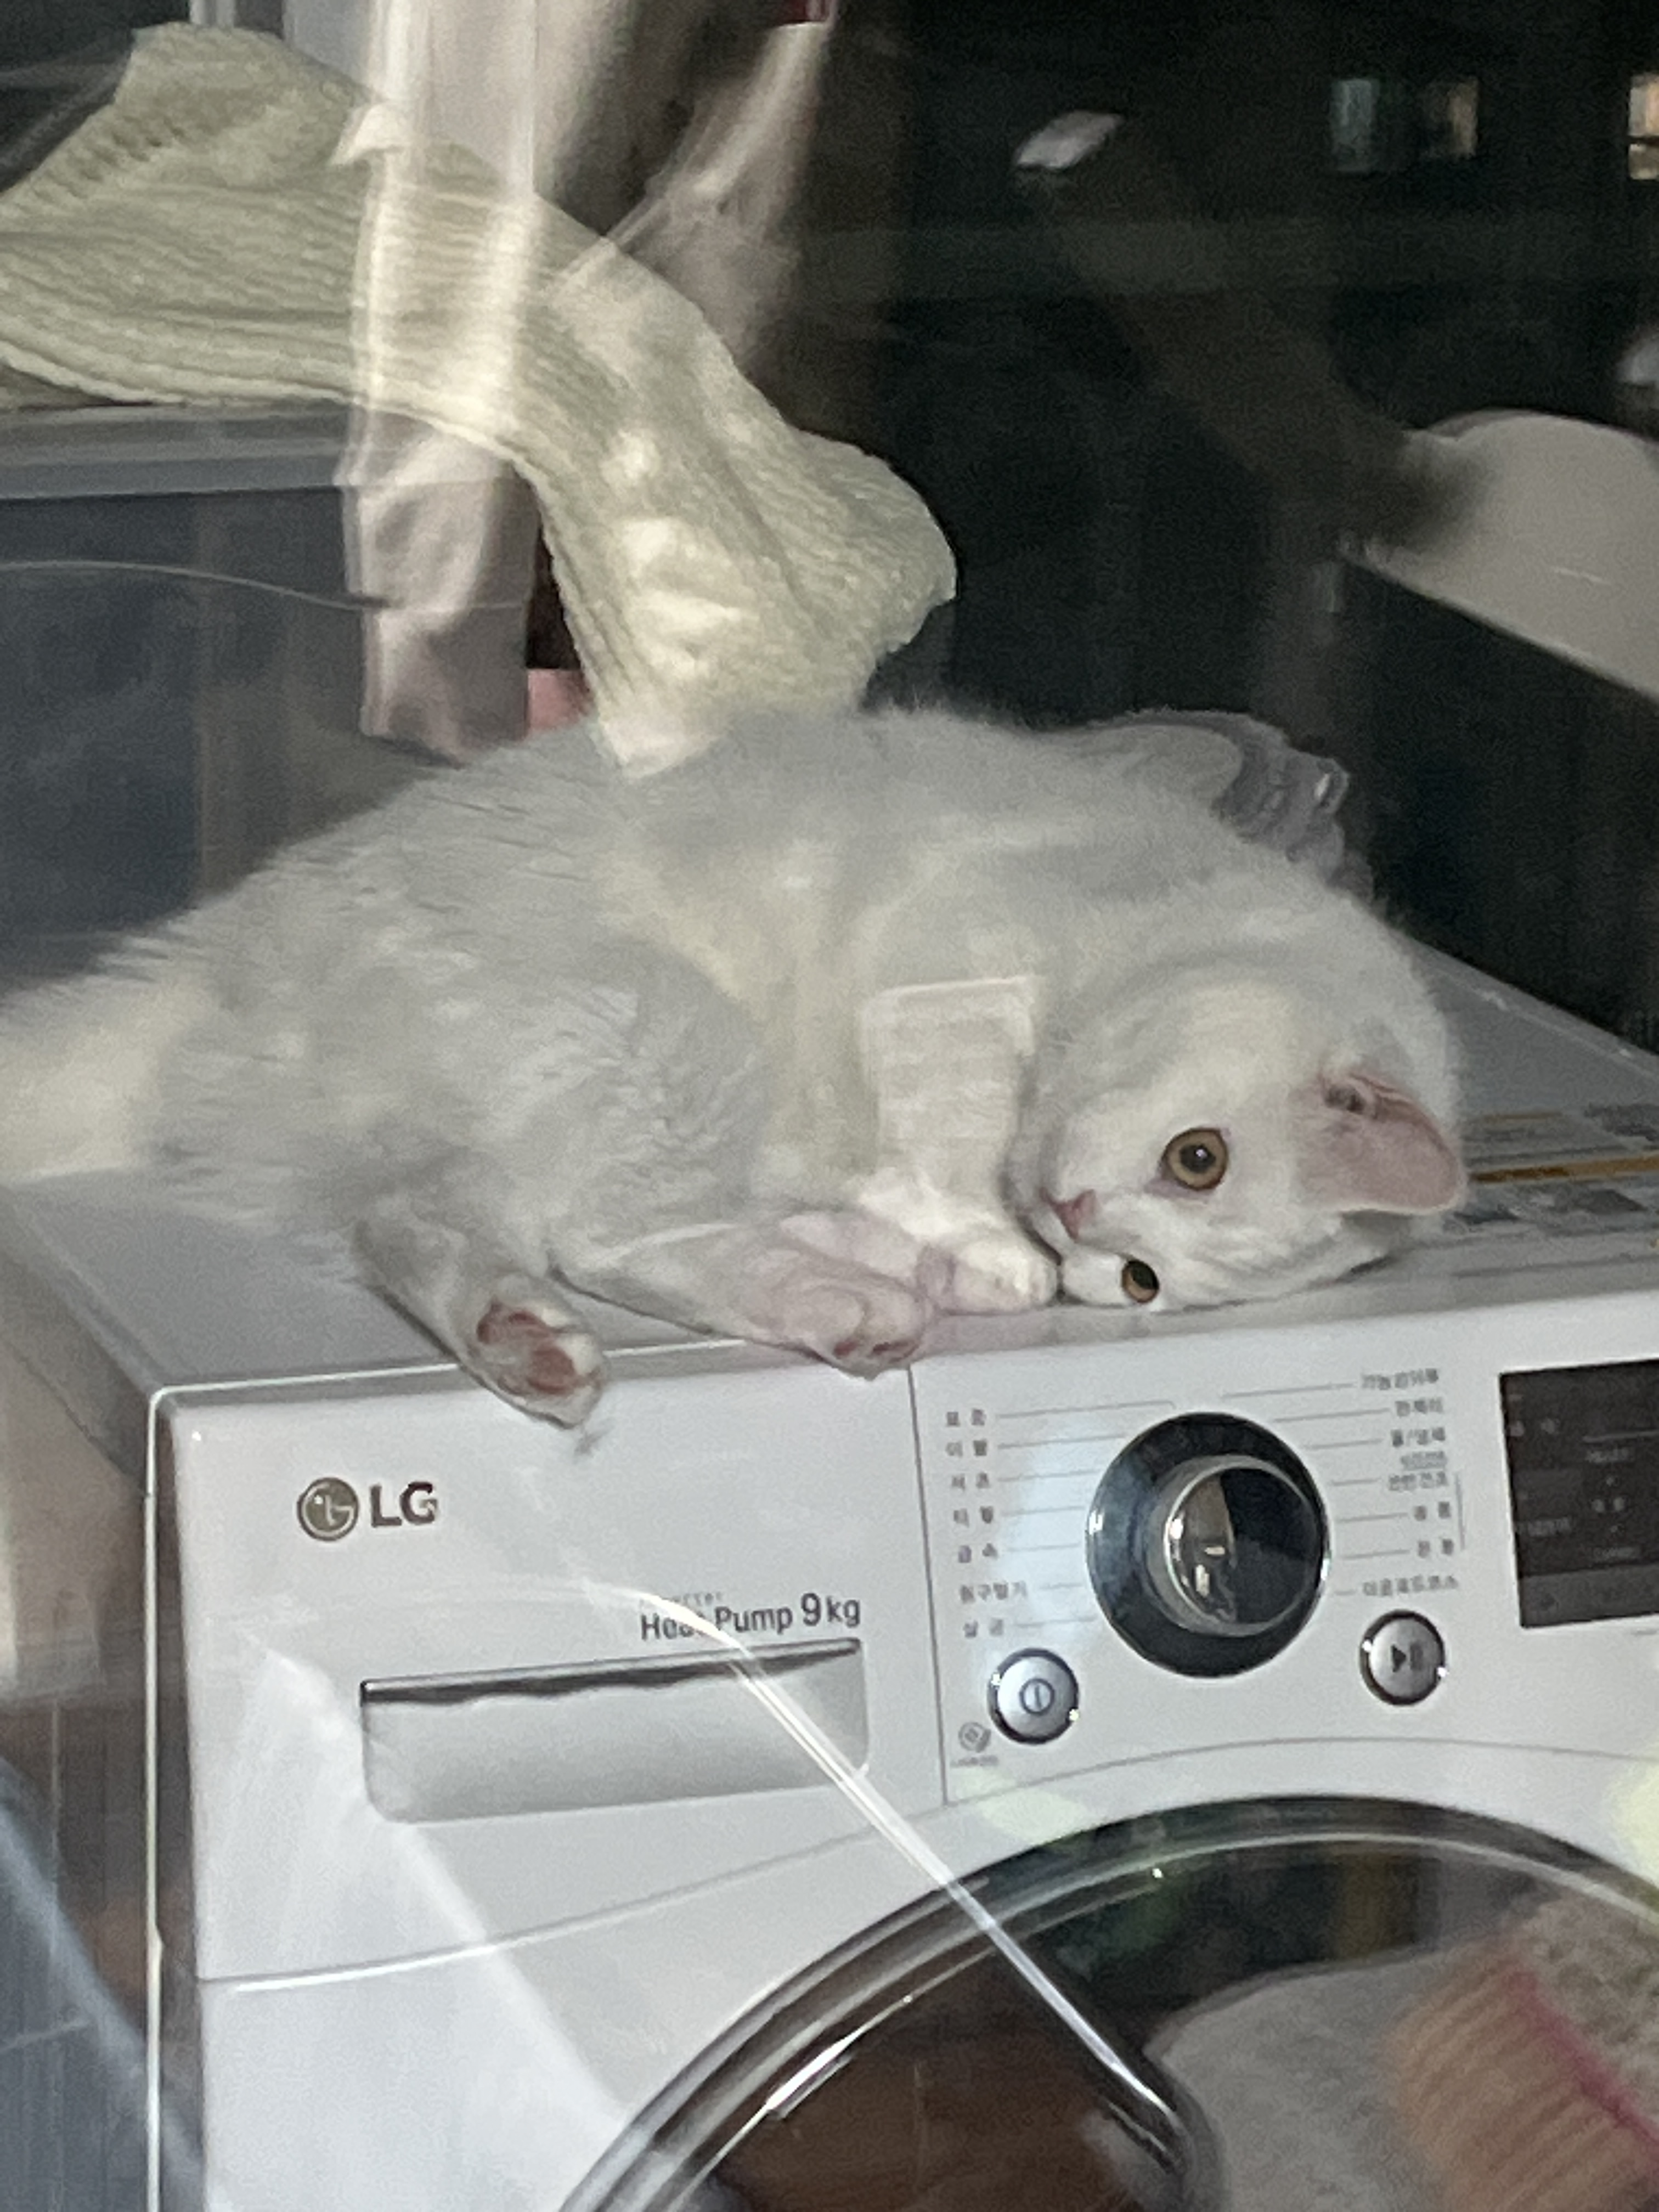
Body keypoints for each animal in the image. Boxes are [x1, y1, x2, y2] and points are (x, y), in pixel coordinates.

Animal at [0, 705, 1463, 1423]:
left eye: (1145, 1284)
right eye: (1197, 1157)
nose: (1078, 1220)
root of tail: (233, 952)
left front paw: (988, 1259)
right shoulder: (948, 986)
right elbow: (945, 1142)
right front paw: (982, 1239)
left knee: (433, 1228)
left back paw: (565, 1339)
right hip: (672, 1027)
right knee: (599, 1231)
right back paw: (854, 1286)